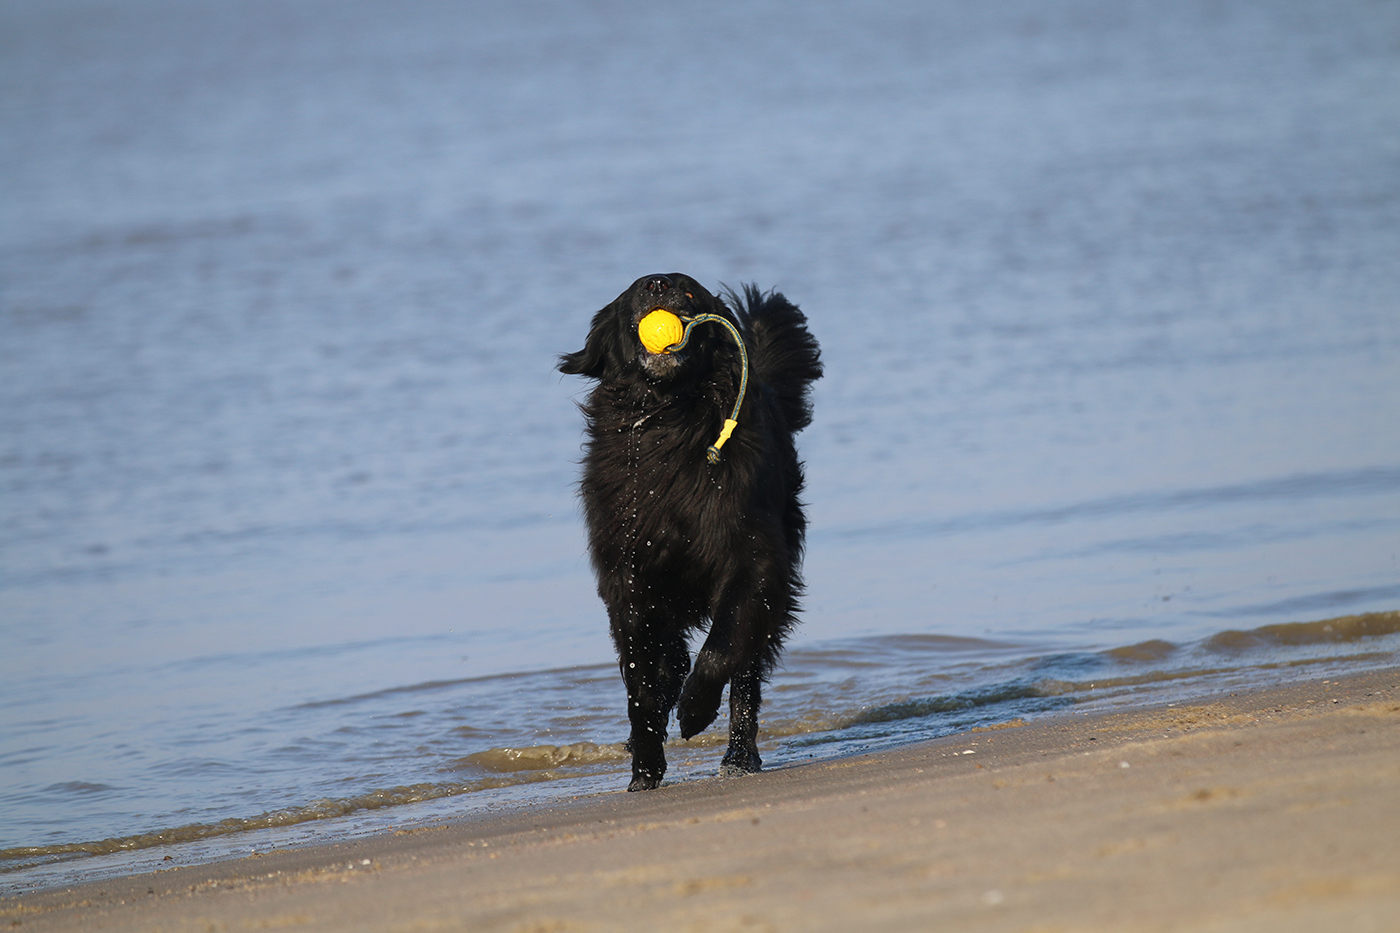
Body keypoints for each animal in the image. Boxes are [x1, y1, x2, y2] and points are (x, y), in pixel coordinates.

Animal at [559, 273, 821, 791]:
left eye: (688, 292)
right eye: (636, 291)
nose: (658, 282)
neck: (669, 422)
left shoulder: (753, 561)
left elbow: (721, 649)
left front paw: (696, 710)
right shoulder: (629, 576)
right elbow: (641, 682)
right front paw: (644, 767)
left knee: (744, 675)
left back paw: (739, 757)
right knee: (672, 660)